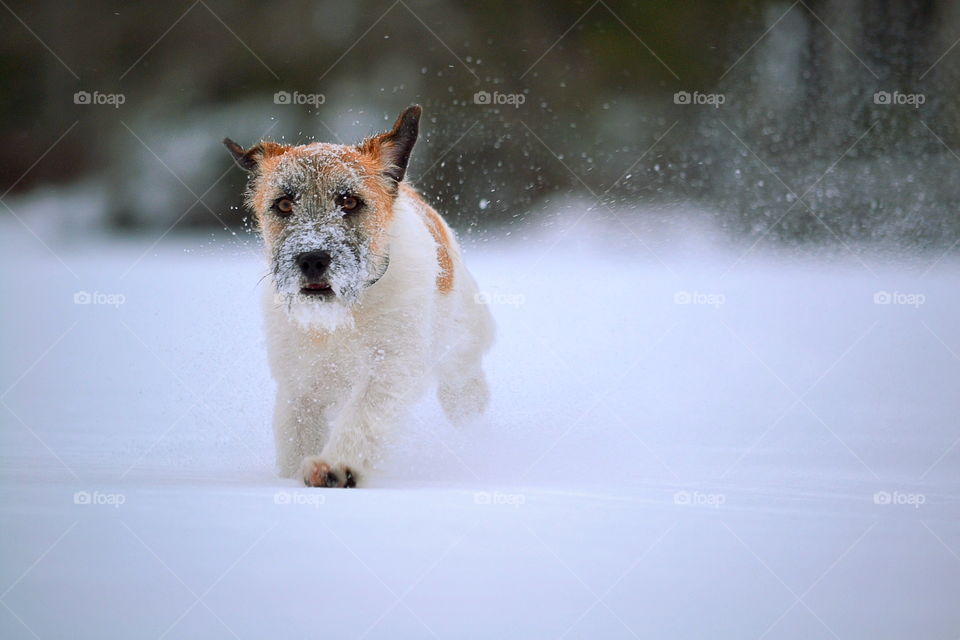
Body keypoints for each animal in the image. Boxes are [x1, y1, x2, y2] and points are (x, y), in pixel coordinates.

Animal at [225, 106, 496, 484]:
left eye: (349, 201)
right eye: (284, 204)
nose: (312, 258)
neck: (343, 316)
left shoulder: (390, 367)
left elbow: (364, 416)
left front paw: (337, 467)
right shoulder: (299, 386)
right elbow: (297, 435)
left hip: (462, 346)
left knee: (463, 388)